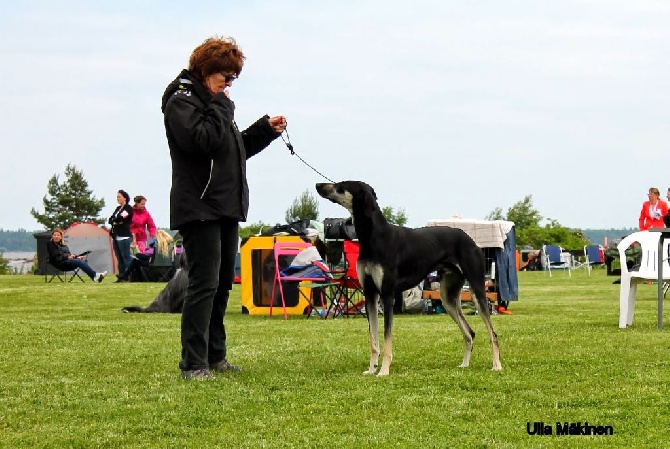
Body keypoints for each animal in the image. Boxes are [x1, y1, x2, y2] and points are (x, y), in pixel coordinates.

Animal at [318, 181, 502, 374]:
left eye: (340, 186)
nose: (318, 185)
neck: (374, 236)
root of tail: (472, 241)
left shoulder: (387, 295)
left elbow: (387, 337)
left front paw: (383, 371)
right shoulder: (370, 295)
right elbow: (374, 340)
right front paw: (371, 370)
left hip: (477, 290)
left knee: (492, 333)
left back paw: (496, 365)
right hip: (448, 298)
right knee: (469, 333)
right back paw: (465, 364)